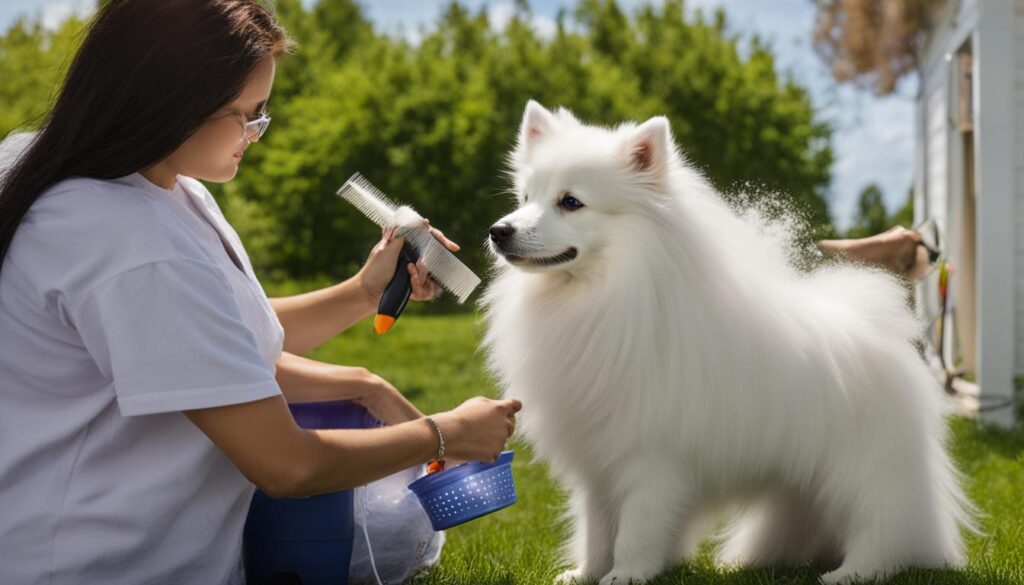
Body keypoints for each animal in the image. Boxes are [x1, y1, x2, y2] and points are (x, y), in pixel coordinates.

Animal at [479, 101, 974, 585]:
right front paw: (586, 573)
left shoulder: (652, 456)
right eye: (526, 198)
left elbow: (637, 526)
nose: (498, 230)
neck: (605, 296)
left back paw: (853, 572)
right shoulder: (599, 461)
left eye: (571, 202)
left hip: (863, 471)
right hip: (803, 484)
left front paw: (627, 574)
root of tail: (876, 322)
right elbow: (597, 527)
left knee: (886, 526)